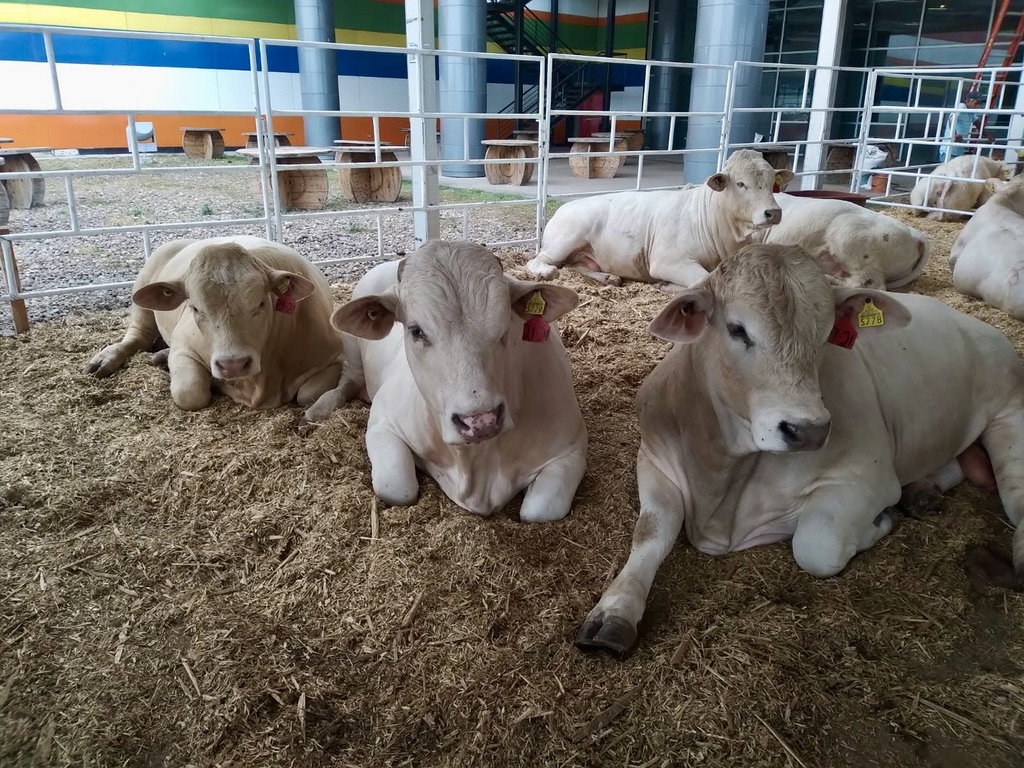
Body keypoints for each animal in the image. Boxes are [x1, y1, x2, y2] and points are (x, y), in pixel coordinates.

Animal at [85, 236, 345, 418]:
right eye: (195, 308)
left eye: (261, 303)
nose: (234, 364)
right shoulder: (184, 346)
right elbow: (189, 393)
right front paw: (217, 384)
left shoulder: (333, 357)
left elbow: (307, 394)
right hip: (143, 295)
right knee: (137, 337)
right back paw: (106, 359)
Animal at [320, 240, 588, 521]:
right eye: (416, 331)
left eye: (506, 325)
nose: (480, 421)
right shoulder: (383, 422)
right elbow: (397, 488)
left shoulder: (571, 448)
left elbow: (538, 510)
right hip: (351, 349)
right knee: (348, 379)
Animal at [525, 149, 794, 292]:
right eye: (740, 183)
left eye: (772, 181)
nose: (773, 212)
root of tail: (563, 208)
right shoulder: (668, 261)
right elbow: (702, 281)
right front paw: (667, 286)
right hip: (567, 238)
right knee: (540, 261)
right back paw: (547, 272)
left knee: (576, 266)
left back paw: (609, 277)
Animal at [575, 242, 1024, 655]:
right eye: (737, 329)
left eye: (827, 335)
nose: (808, 431)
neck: (720, 480)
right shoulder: (653, 460)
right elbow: (650, 533)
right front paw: (614, 612)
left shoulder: (867, 477)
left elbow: (816, 545)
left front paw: (879, 523)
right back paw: (923, 492)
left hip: (1010, 417)